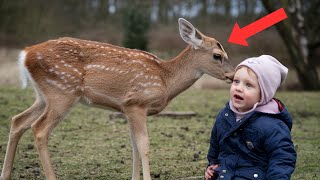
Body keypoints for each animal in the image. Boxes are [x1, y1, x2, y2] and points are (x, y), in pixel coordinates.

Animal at [0, 18, 235, 180]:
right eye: (217, 55)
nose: (232, 75)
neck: (165, 79)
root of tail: (26, 54)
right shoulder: (136, 103)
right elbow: (144, 144)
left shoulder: (127, 108)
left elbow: (134, 146)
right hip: (61, 92)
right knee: (39, 129)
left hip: (43, 95)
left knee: (18, 120)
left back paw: (5, 174)